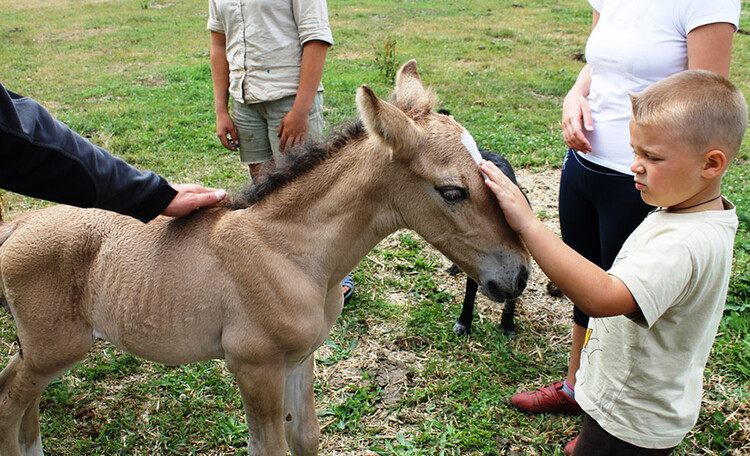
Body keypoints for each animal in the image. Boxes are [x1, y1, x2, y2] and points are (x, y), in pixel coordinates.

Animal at [0, 61, 532, 456]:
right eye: (452, 191)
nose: (519, 275)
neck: (291, 253)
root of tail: (19, 225)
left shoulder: (300, 359)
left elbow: (306, 438)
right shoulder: (255, 368)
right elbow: (270, 448)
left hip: (42, 351)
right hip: (56, 348)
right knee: (9, 403)